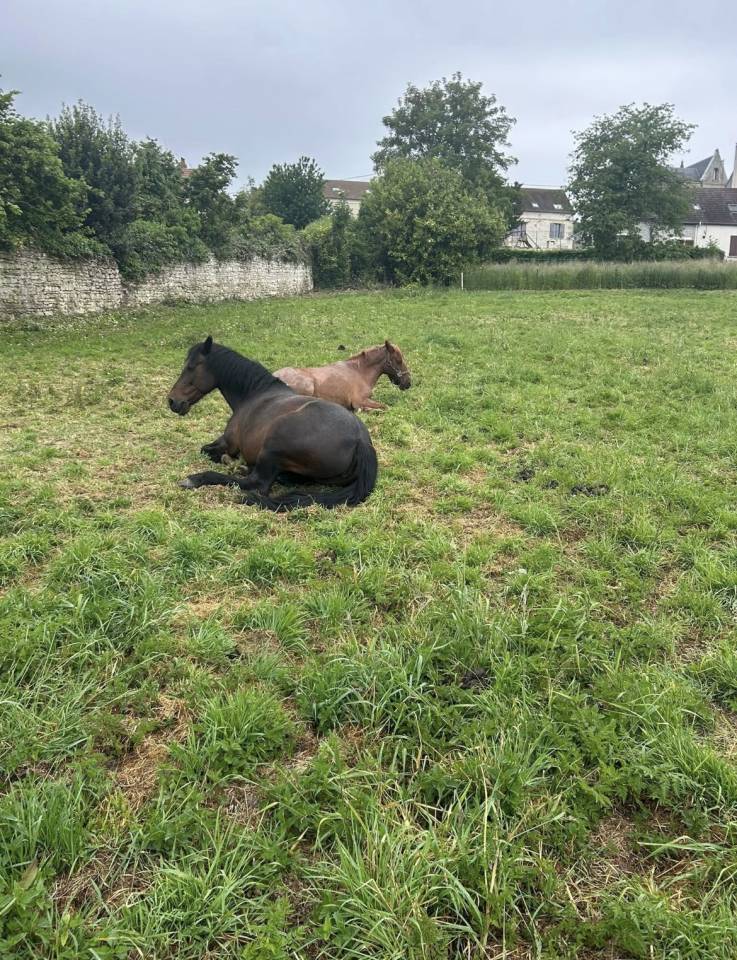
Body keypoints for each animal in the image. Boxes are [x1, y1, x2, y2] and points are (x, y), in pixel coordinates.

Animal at [167, 337, 378, 511]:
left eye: (191, 367)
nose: (172, 401)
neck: (254, 394)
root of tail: (361, 441)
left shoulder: (229, 443)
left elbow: (208, 451)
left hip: (274, 443)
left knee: (257, 484)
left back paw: (198, 478)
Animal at [273, 341, 411, 411]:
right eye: (398, 360)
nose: (408, 383)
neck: (360, 372)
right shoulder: (358, 400)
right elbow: (385, 407)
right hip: (308, 387)